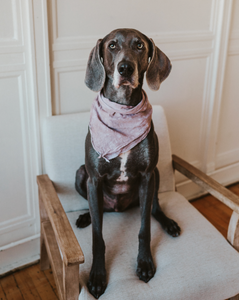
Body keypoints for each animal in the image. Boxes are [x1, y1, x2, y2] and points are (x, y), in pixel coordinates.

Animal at [75, 27, 180, 298]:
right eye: (112, 45)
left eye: (139, 45)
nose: (125, 68)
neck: (122, 110)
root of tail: (118, 208)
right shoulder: (94, 179)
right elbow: (98, 238)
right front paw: (97, 276)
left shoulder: (147, 175)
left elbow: (144, 229)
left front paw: (144, 264)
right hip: (81, 175)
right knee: (96, 209)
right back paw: (85, 216)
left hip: (157, 175)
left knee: (154, 208)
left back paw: (169, 223)